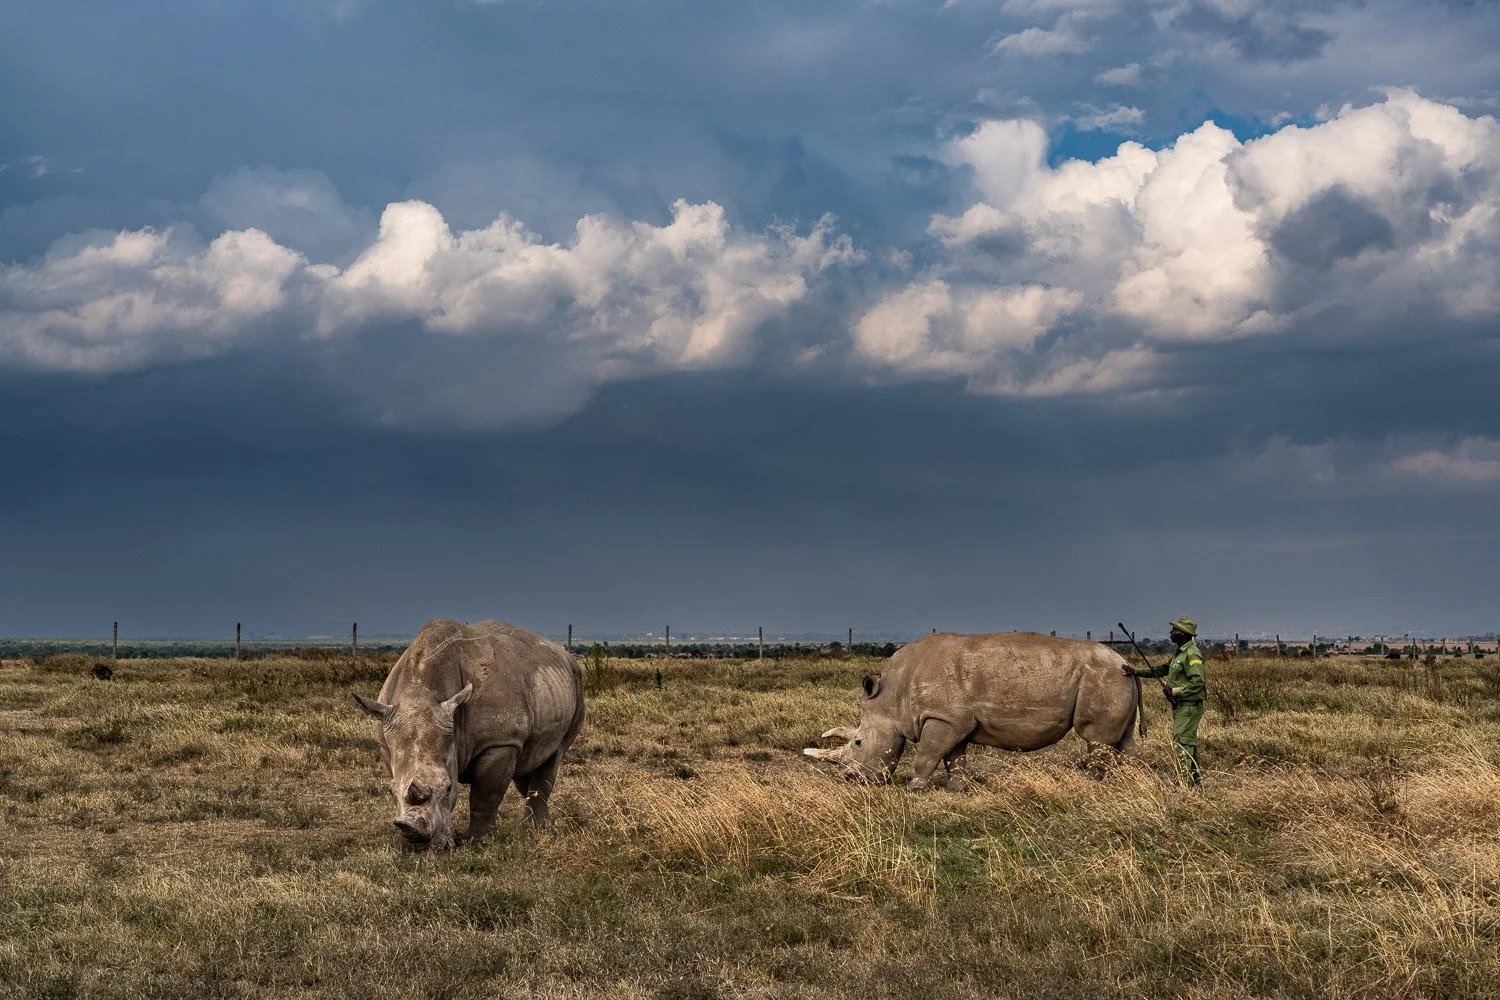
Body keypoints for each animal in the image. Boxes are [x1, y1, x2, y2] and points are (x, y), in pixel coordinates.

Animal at [354, 618, 585, 850]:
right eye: (389, 791)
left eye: (448, 788)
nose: (418, 846)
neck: (421, 692)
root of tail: (562, 653)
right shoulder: (385, 742)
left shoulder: (500, 741)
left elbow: (485, 793)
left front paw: (477, 841)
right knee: (529, 762)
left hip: (576, 681)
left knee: (555, 754)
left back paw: (536, 830)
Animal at [804, 631, 1141, 789]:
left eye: (858, 742)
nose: (851, 780)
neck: (891, 699)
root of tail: (1126, 663)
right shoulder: (953, 719)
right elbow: (954, 756)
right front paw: (957, 788)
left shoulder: (941, 718)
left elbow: (927, 754)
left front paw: (915, 787)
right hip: (1115, 679)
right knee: (1124, 739)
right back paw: (1132, 782)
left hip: (1103, 677)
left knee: (1095, 737)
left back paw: (1093, 783)